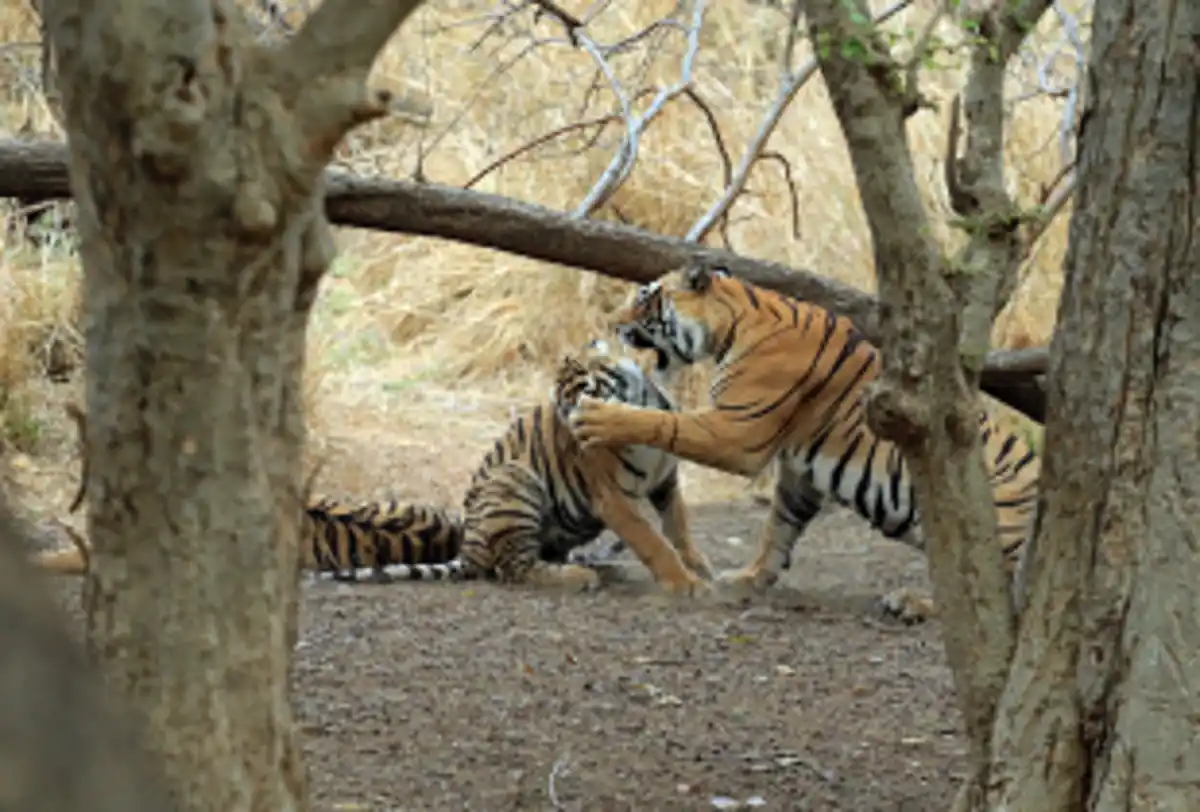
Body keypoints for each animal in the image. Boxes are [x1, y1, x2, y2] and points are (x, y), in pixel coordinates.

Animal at [566, 264, 1041, 622]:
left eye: (644, 298)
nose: (612, 325)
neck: (733, 322)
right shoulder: (800, 472)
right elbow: (778, 527)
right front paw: (749, 579)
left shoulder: (736, 432)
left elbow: (663, 421)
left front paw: (599, 416)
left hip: (996, 519)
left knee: (990, 594)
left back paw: (913, 603)